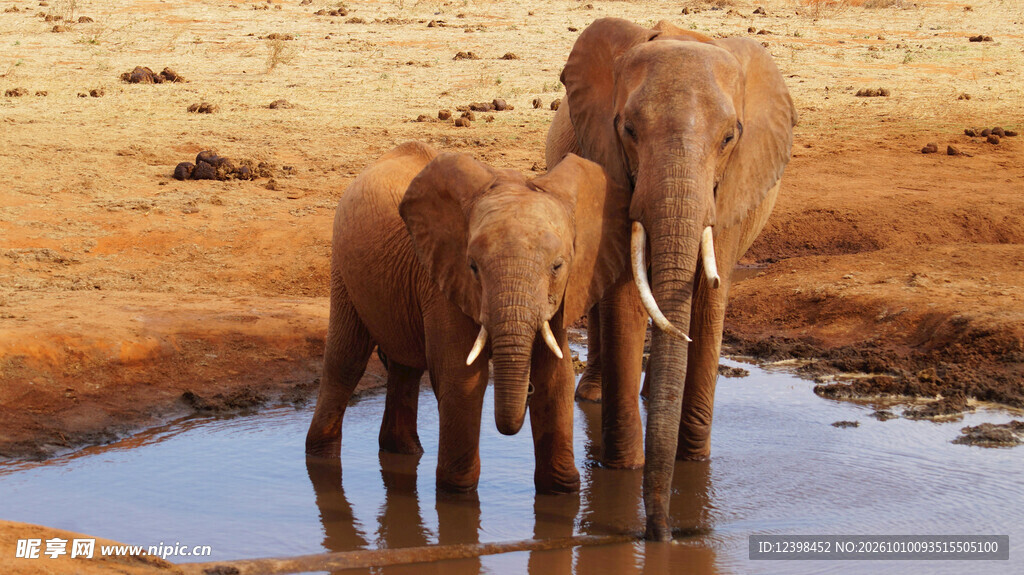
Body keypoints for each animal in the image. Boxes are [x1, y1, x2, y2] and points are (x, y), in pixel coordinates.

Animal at [305, 141, 631, 494]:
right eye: (473, 266)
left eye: (557, 266)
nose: (525, 392)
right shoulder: (443, 279)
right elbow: (462, 379)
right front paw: (457, 492)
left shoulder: (563, 292)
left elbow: (556, 378)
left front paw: (561, 491)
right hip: (343, 262)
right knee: (346, 360)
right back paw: (321, 460)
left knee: (405, 366)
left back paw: (404, 451)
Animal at [546, 18, 797, 539]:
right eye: (628, 129)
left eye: (730, 138)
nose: (660, 533)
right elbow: (624, 296)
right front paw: (623, 471)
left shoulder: (731, 191)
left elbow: (709, 299)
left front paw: (695, 466)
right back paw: (593, 395)